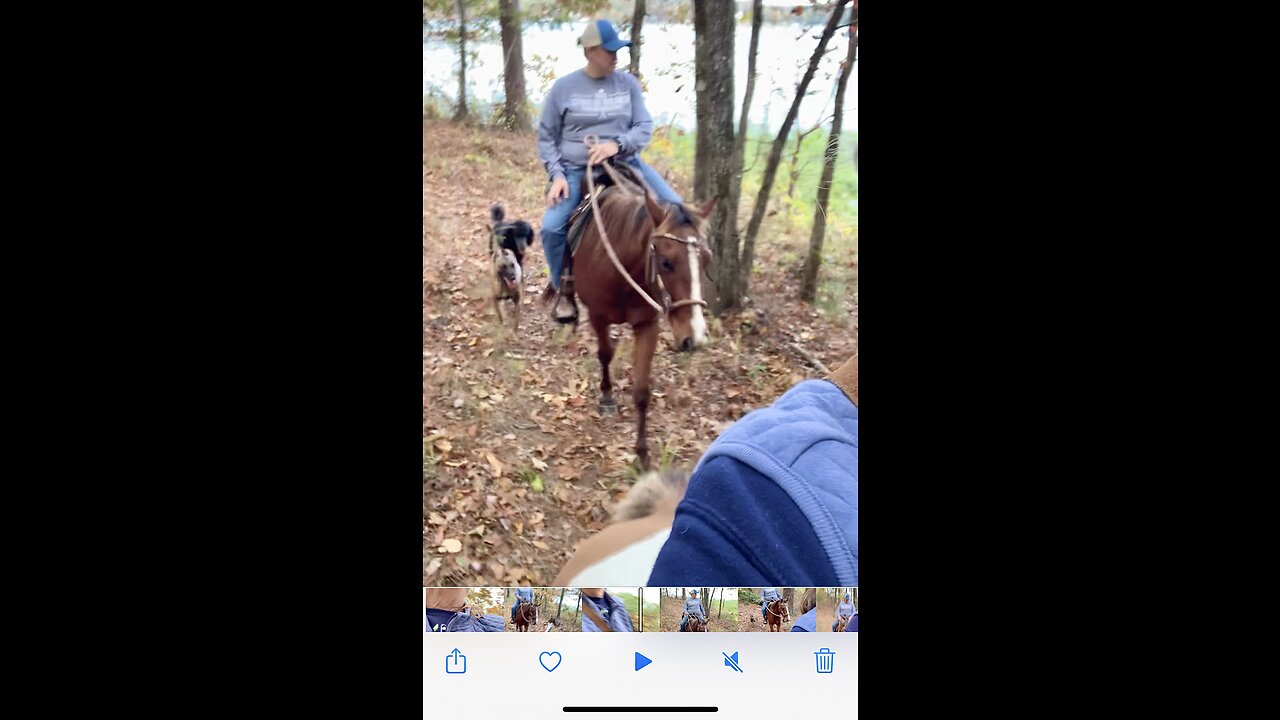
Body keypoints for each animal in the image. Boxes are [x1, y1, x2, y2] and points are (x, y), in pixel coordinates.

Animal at [573, 169, 716, 471]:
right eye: (665, 262)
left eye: (707, 260)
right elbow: (605, 354)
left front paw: (642, 454)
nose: (695, 337)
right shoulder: (598, 316)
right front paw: (606, 396)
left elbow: (641, 392)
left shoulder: (648, 325)